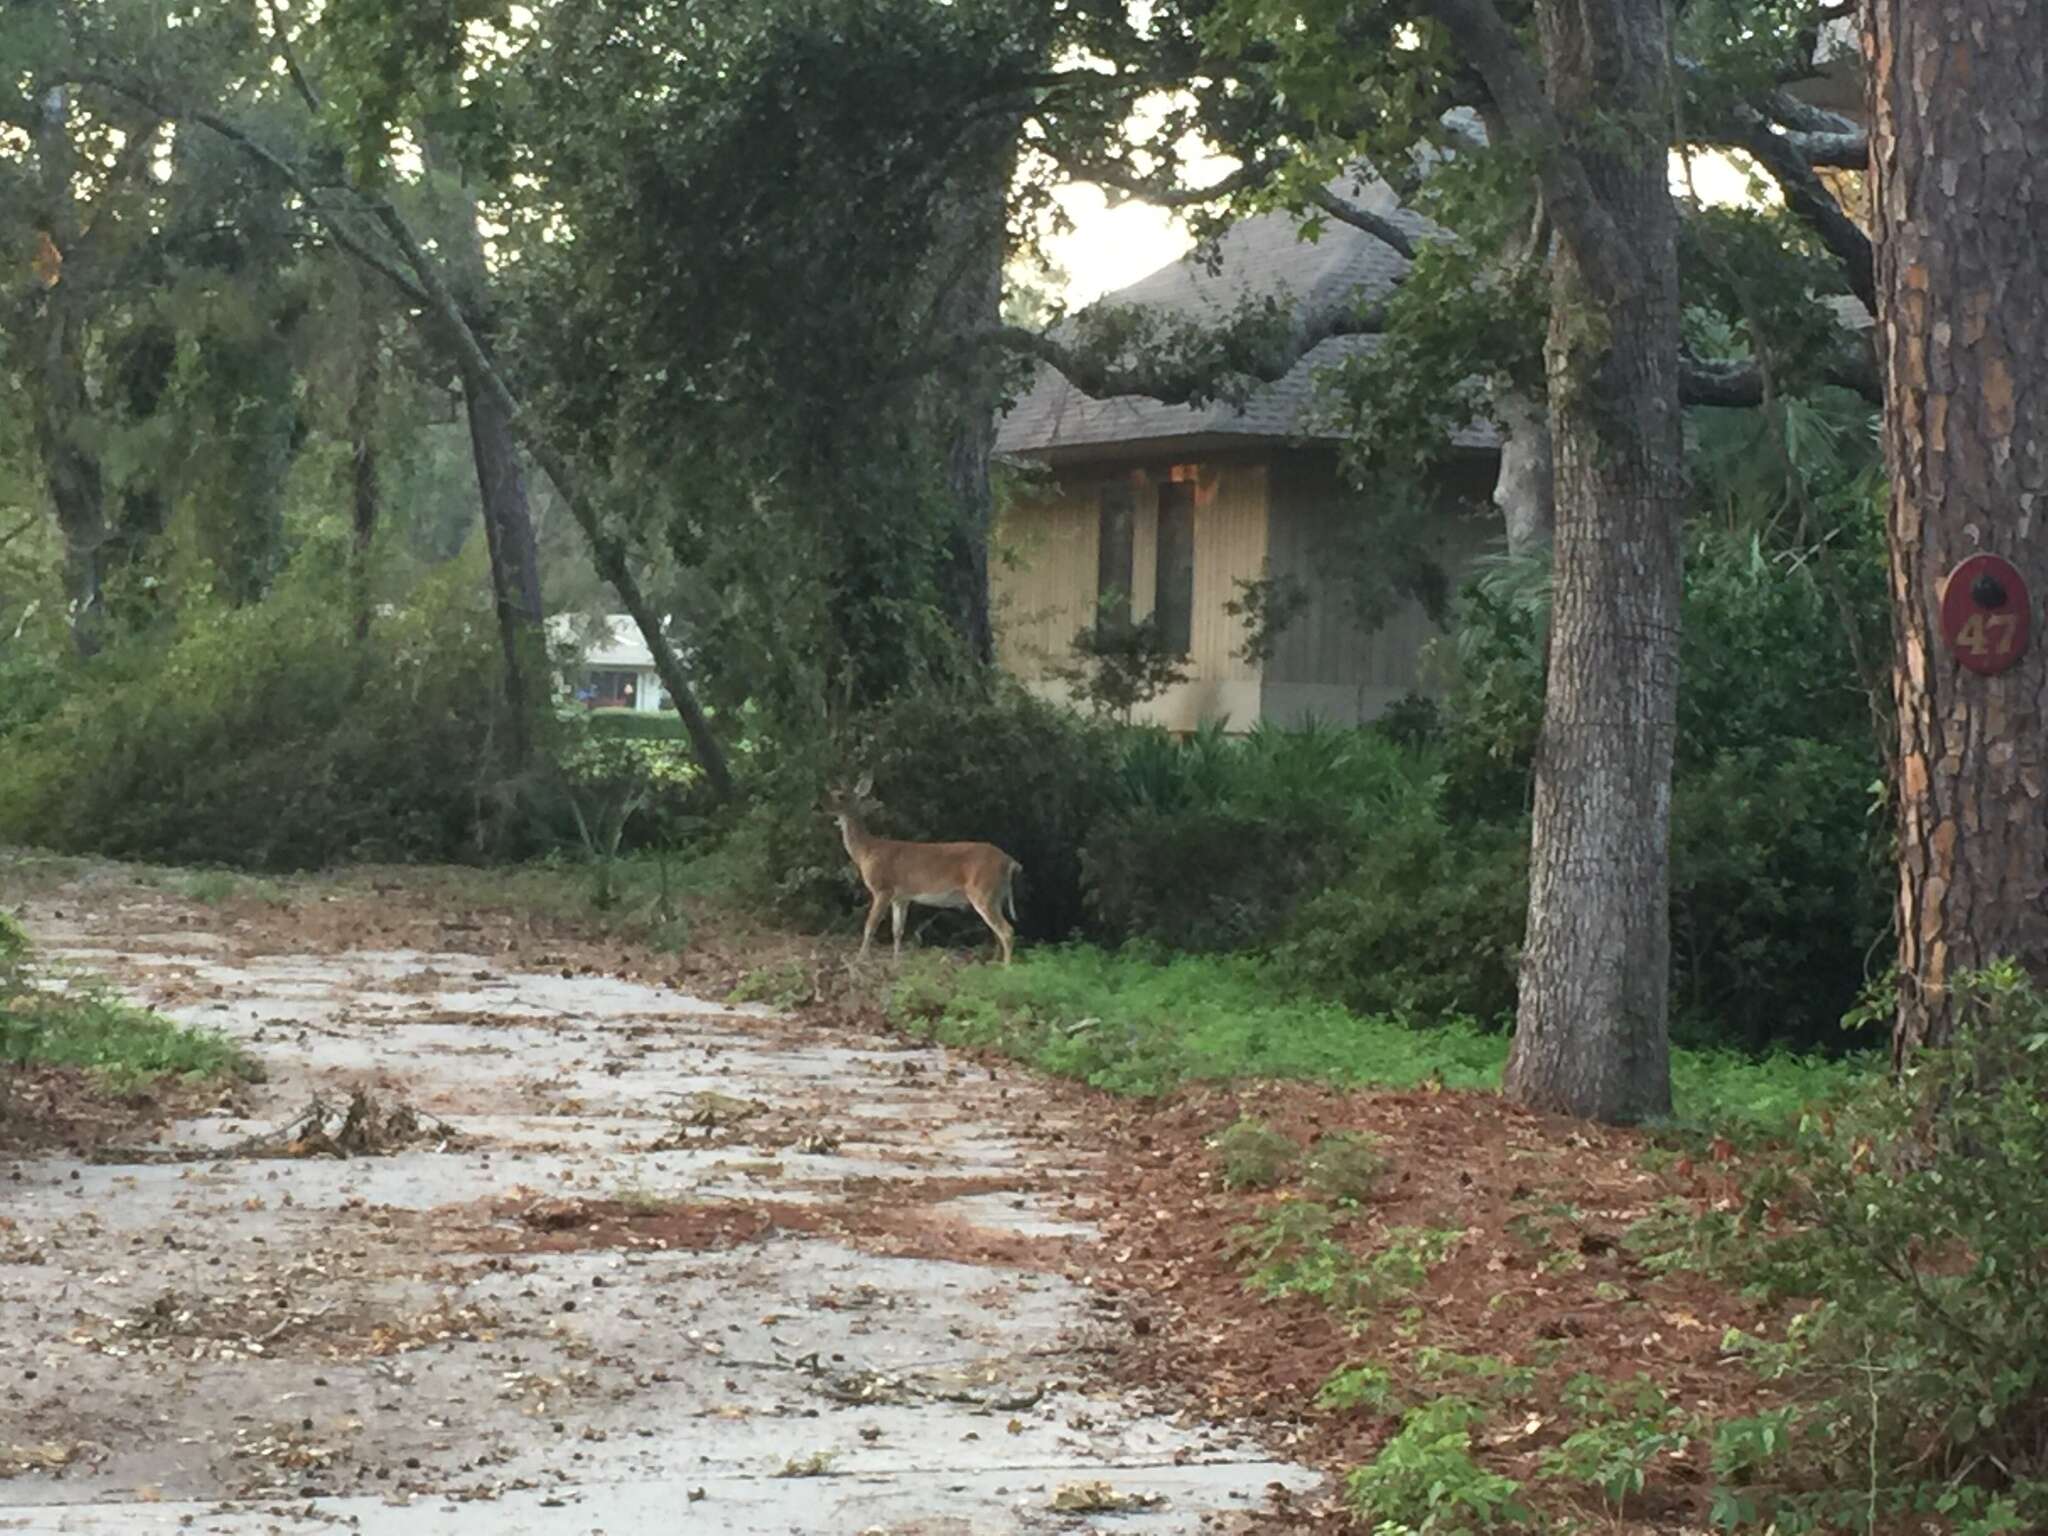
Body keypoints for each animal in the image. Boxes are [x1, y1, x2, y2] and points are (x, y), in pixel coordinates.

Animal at [823, 774, 1024, 966]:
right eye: (831, 792)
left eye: (840, 796)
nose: (820, 805)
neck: (867, 851)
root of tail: (1009, 861)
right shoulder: (901, 897)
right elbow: (897, 930)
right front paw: (896, 962)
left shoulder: (882, 888)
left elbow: (869, 926)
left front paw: (859, 960)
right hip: (995, 895)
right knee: (997, 932)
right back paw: (994, 963)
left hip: (983, 890)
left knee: (1006, 930)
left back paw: (1006, 967)